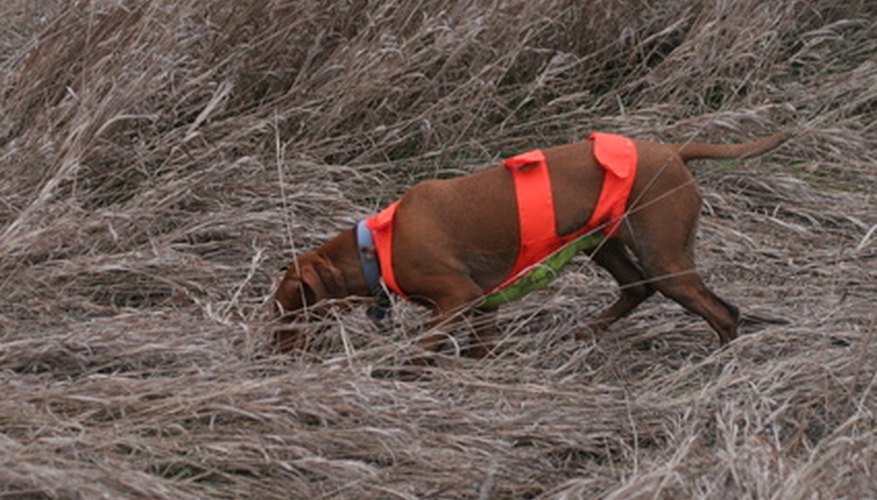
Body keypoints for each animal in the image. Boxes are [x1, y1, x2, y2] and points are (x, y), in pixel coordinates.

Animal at [272, 131, 788, 354]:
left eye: (284, 309)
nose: (271, 350)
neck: (376, 245)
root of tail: (674, 153)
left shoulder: (457, 298)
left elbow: (422, 347)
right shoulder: (483, 305)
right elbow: (479, 348)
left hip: (665, 257)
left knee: (722, 313)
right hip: (603, 243)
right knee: (635, 287)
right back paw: (588, 330)